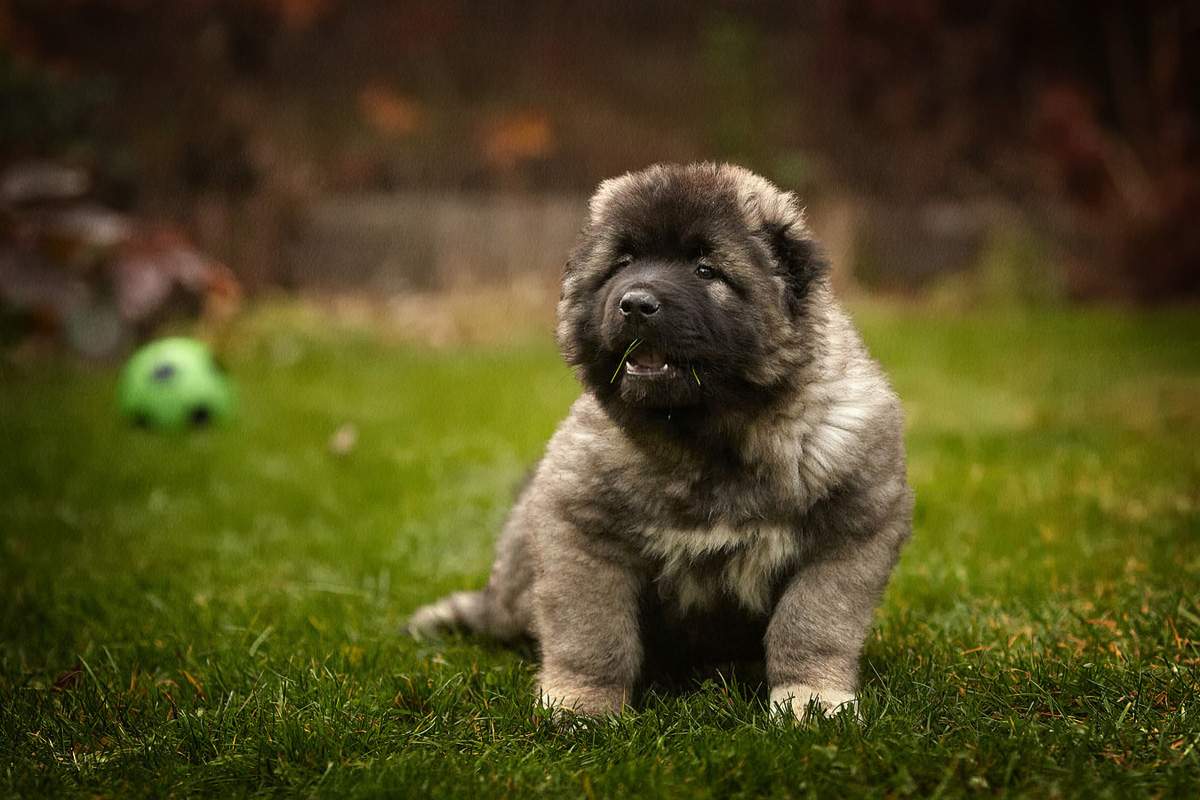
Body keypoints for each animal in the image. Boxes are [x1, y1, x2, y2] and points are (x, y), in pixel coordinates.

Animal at [408, 164, 912, 724]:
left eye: (705, 269)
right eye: (622, 264)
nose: (635, 303)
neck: (710, 441)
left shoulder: (851, 534)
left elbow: (811, 625)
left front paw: (813, 701)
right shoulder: (579, 532)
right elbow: (593, 635)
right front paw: (582, 705)